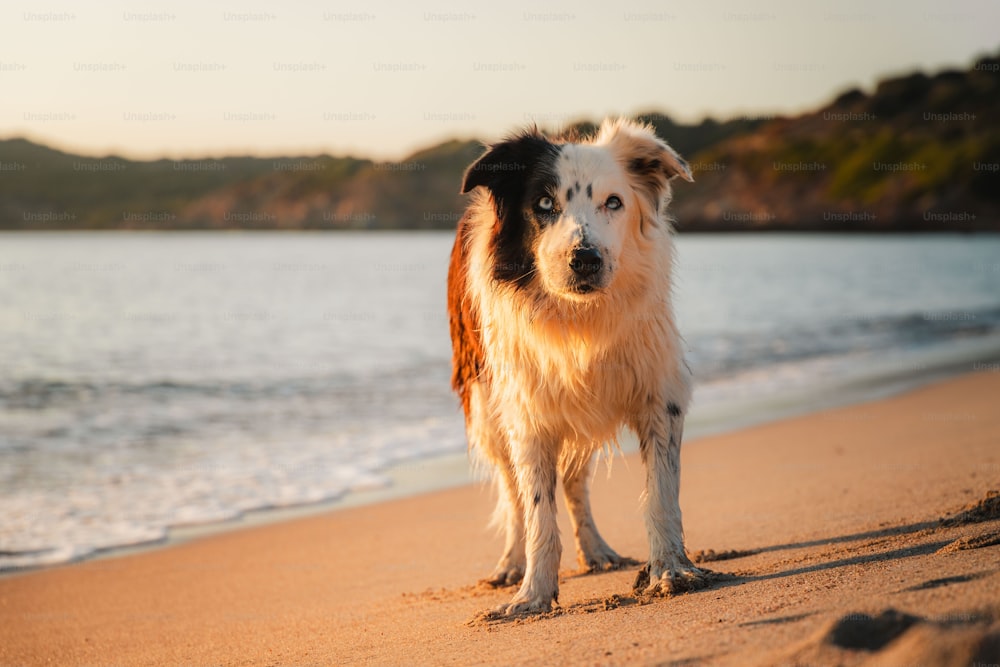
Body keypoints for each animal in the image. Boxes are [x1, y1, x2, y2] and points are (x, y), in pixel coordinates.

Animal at [446, 118, 704, 616]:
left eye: (614, 202)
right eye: (544, 205)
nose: (584, 259)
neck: (580, 320)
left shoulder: (659, 394)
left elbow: (661, 495)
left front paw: (670, 570)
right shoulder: (527, 411)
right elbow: (537, 511)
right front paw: (532, 595)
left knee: (575, 482)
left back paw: (598, 551)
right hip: (487, 403)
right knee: (512, 490)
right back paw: (510, 565)